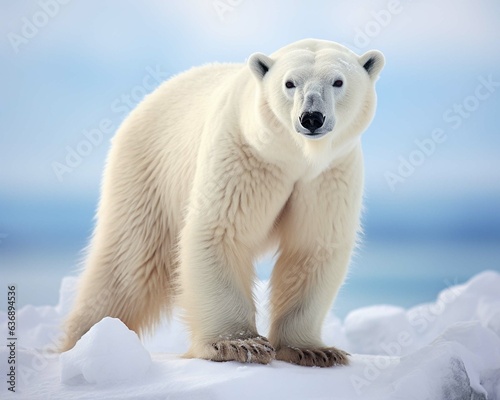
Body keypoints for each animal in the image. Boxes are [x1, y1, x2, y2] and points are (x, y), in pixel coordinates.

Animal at [60, 39, 384, 368]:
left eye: (338, 81)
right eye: (289, 83)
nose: (312, 117)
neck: (294, 158)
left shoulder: (328, 175)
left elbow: (314, 246)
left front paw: (312, 350)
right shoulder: (243, 154)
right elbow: (221, 231)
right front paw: (238, 344)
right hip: (147, 171)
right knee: (128, 267)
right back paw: (86, 341)